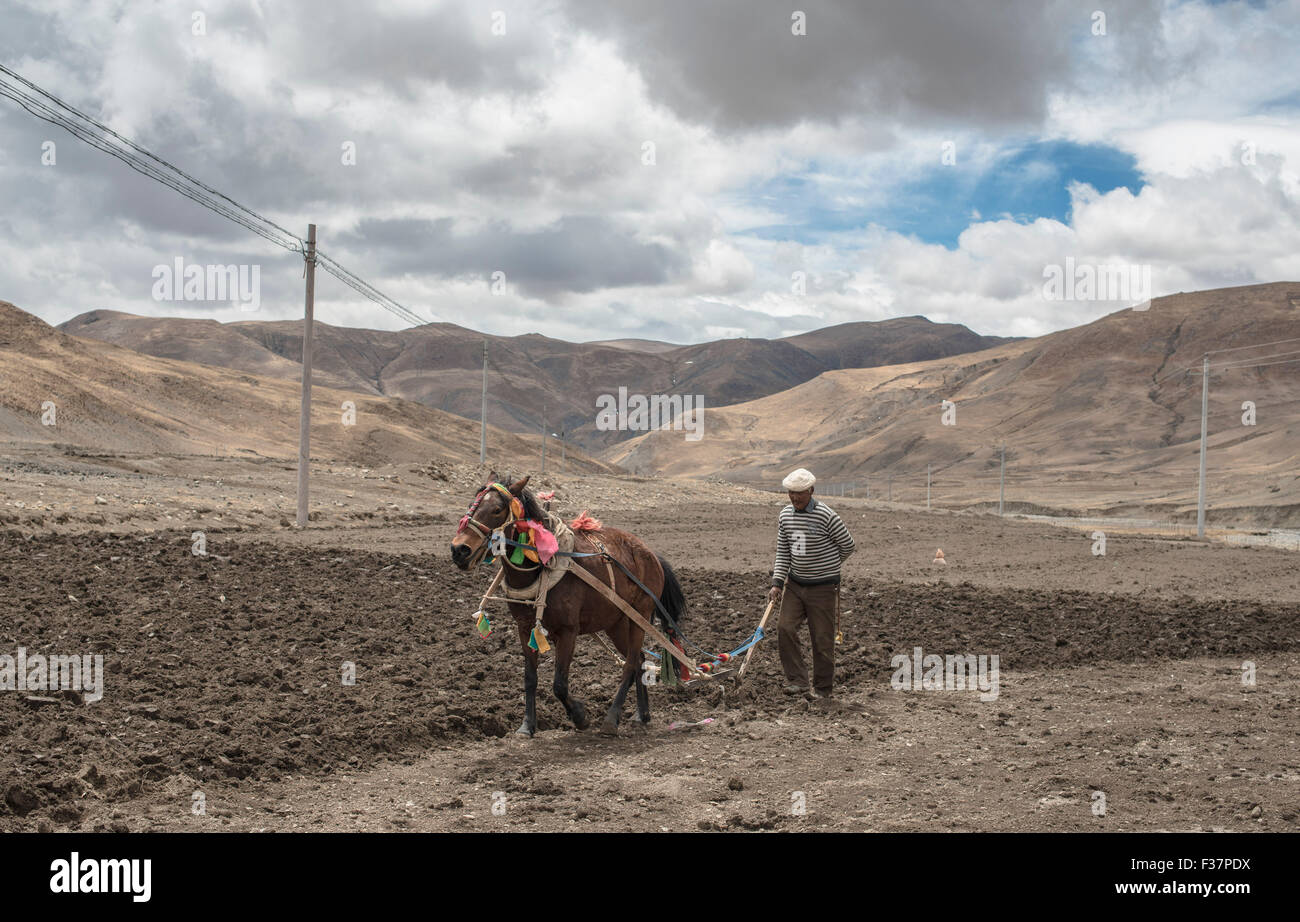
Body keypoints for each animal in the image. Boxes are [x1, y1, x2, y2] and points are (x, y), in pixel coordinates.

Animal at [449, 475, 686, 733]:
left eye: (497, 509)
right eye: (471, 504)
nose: (459, 550)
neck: (541, 566)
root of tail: (652, 555)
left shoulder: (568, 631)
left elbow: (559, 684)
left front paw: (580, 716)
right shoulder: (524, 627)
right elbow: (530, 678)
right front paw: (527, 725)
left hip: (639, 617)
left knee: (631, 663)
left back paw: (611, 719)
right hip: (618, 622)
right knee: (640, 661)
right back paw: (641, 714)